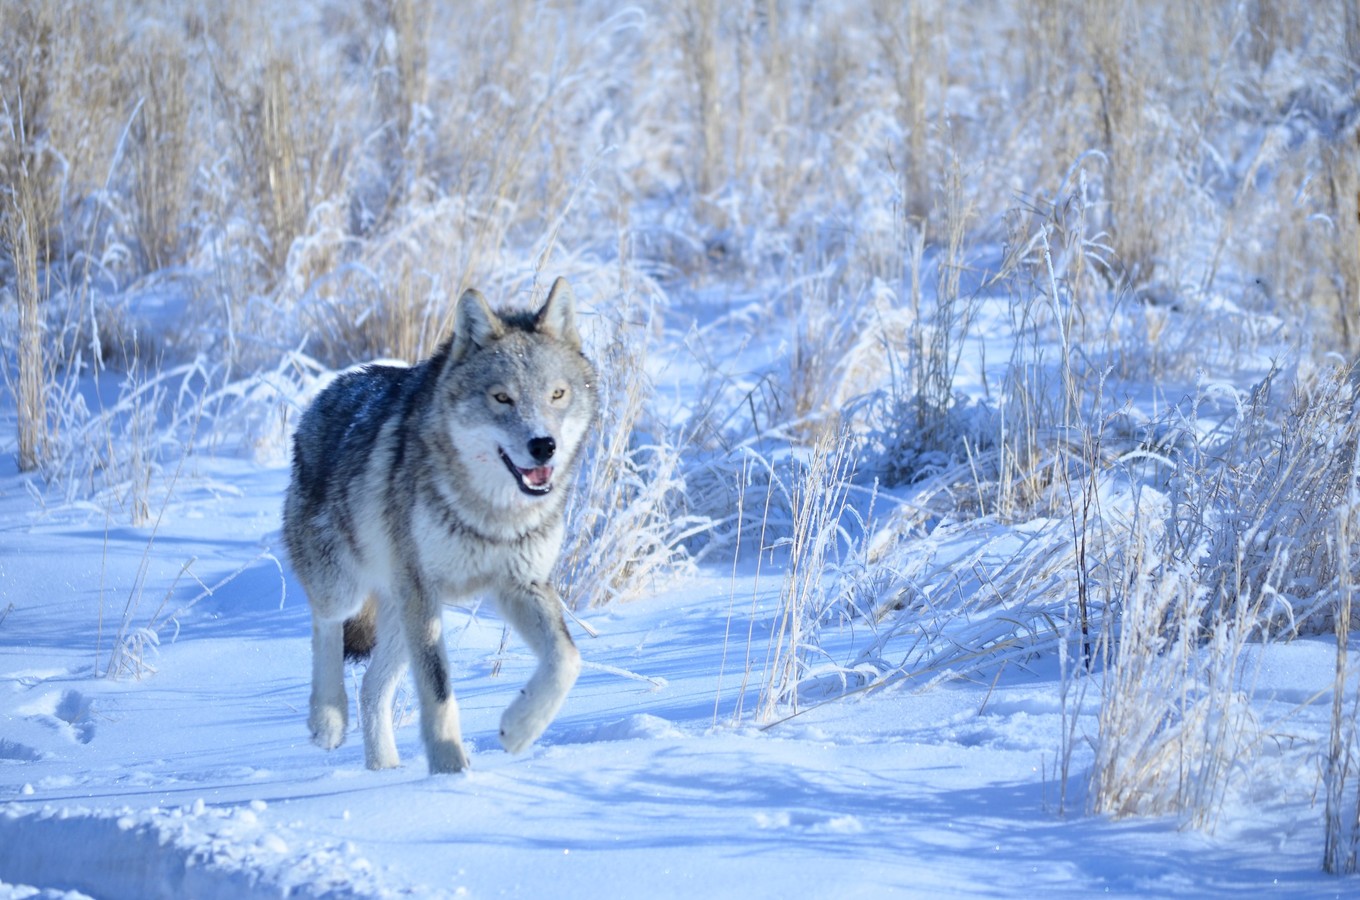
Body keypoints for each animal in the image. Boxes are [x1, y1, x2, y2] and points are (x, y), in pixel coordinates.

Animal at [284, 278, 598, 772]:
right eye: (502, 397)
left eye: (557, 395)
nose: (543, 445)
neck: (491, 513)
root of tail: (325, 392)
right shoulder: (423, 590)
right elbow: (438, 693)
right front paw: (452, 776)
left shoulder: (521, 583)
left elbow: (567, 659)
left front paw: (517, 731)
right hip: (351, 588)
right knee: (325, 627)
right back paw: (328, 721)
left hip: (402, 616)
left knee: (371, 687)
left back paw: (383, 770)